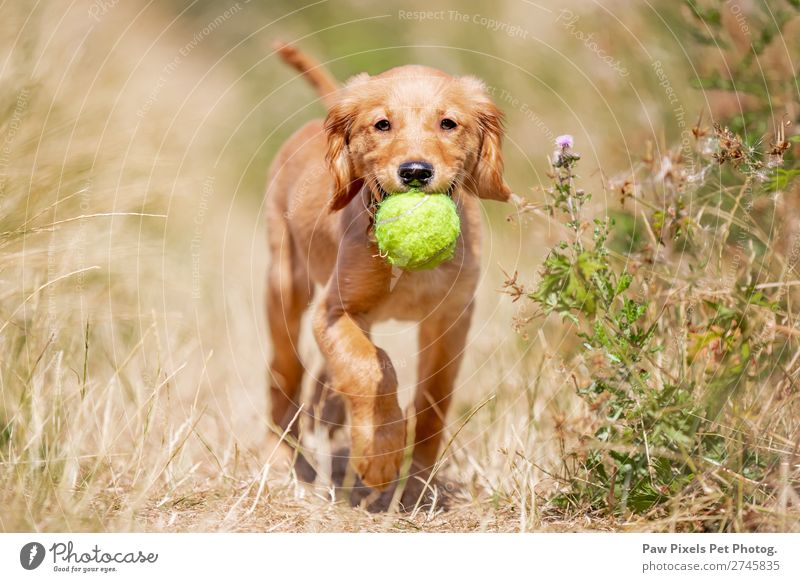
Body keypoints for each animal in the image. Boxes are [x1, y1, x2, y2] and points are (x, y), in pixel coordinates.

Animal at [268, 42, 512, 506]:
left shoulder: (451, 318)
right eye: (382, 124)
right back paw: (286, 447)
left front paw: (417, 483)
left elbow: (433, 398)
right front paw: (380, 454)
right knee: (285, 367)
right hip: (285, 284)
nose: (415, 172)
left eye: (448, 123)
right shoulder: (335, 311)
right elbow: (372, 366)